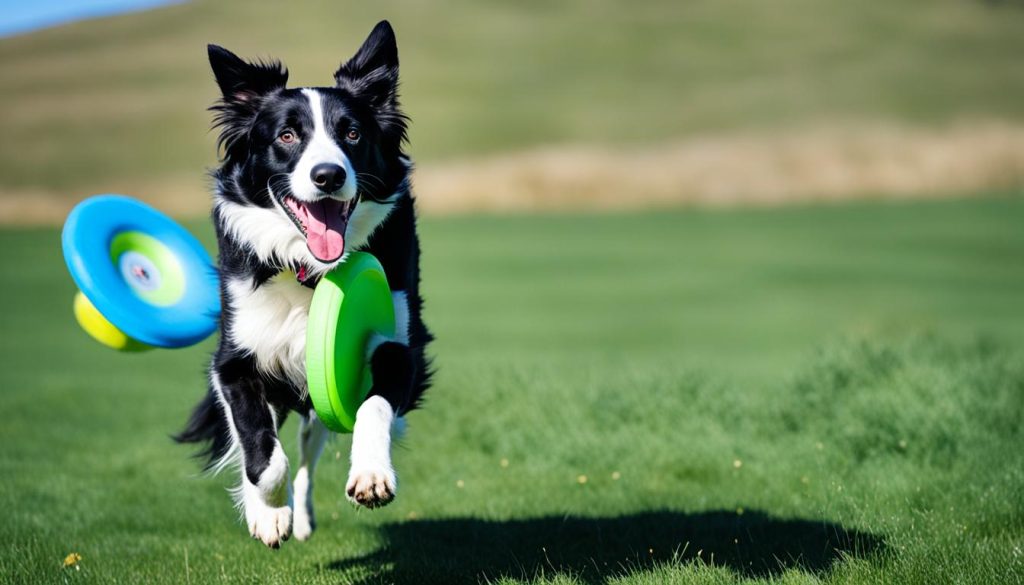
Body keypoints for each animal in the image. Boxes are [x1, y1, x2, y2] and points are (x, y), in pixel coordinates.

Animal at [176, 19, 432, 549]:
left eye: (352, 132)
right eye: (287, 135)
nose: (328, 175)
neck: (310, 271)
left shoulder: (397, 344)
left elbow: (374, 405)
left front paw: (372, 475)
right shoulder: (234, 362)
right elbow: (259, 451)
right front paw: (269, 513)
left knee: (308, 454)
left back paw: (307, 515)